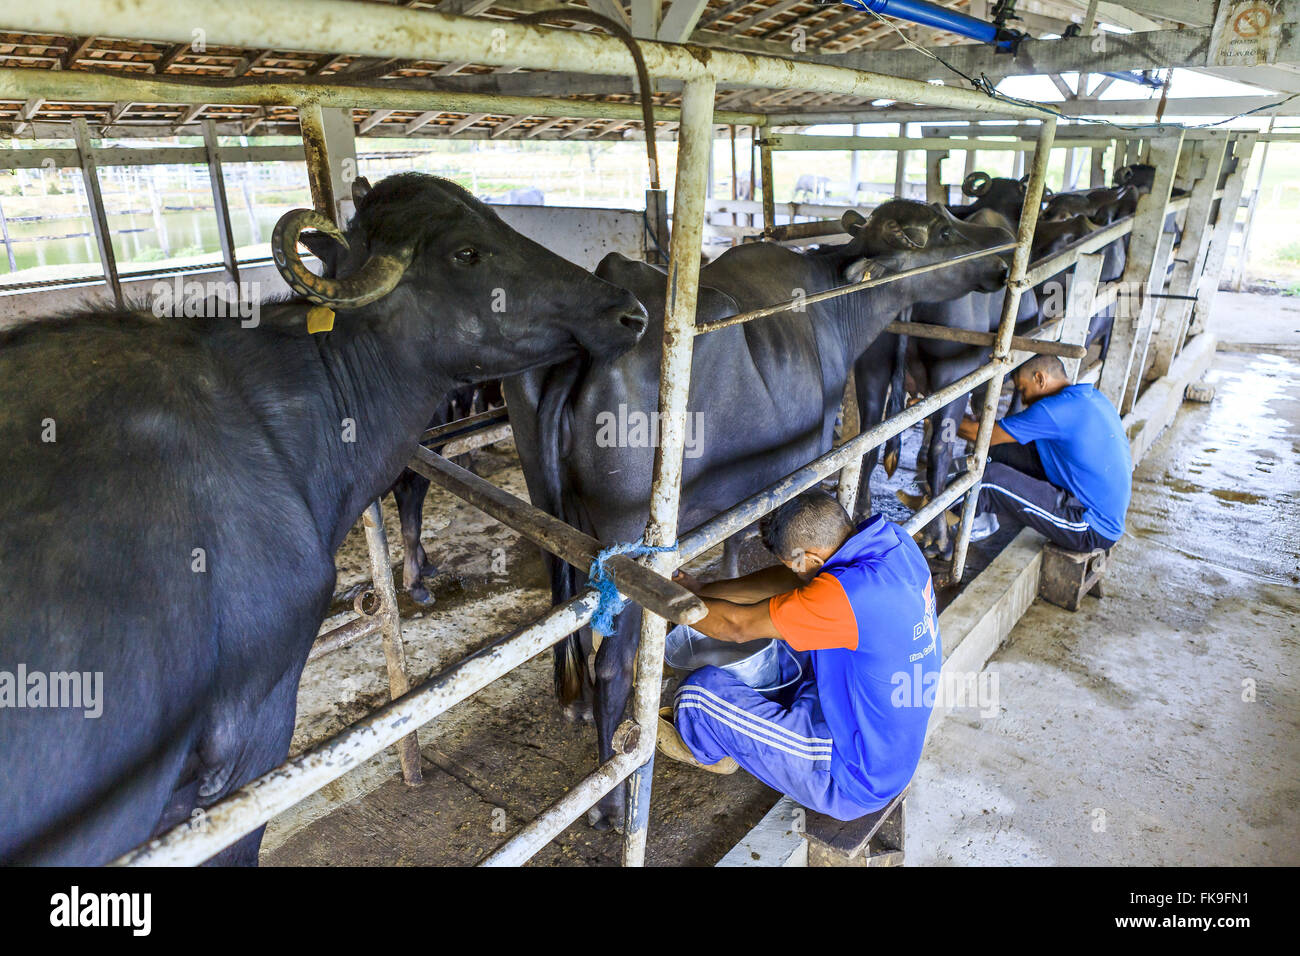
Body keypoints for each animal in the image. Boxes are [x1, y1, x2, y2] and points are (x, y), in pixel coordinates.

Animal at [501, 197, 1008, 827]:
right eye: (938, 231)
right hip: (626, 546)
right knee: (613, 666)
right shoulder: (800, 464)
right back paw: (615, 801)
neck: (833, 305)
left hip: (552, 518)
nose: (1002, 251)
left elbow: (735, 555)